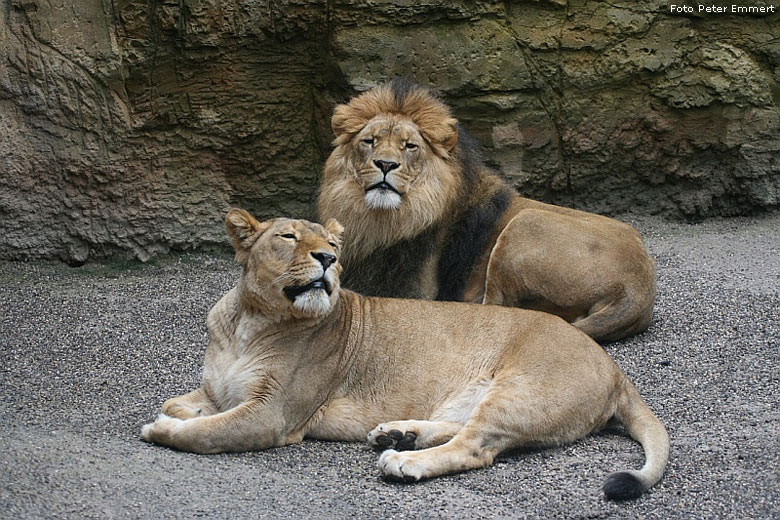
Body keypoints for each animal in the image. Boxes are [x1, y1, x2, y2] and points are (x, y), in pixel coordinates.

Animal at [142, 208, 672, 500]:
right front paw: (179, 413)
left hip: (521, 389)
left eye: (331, 243)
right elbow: (188, 404)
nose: (328, 259)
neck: (250, 322)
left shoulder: (273, 414)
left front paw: (163, 429)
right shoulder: (221, 389)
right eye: (288, 237)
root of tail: (615, 369)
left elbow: (206, 431)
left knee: (476, 446)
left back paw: (403, 460)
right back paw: (399, 433)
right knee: (462, 426)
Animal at [320, 79, 656, 344]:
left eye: (410, 146)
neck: (385, 221)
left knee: (498, 307)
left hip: (523, 225)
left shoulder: (415, 288)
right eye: (369, 141)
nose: (386, 164)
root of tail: (637, 290)